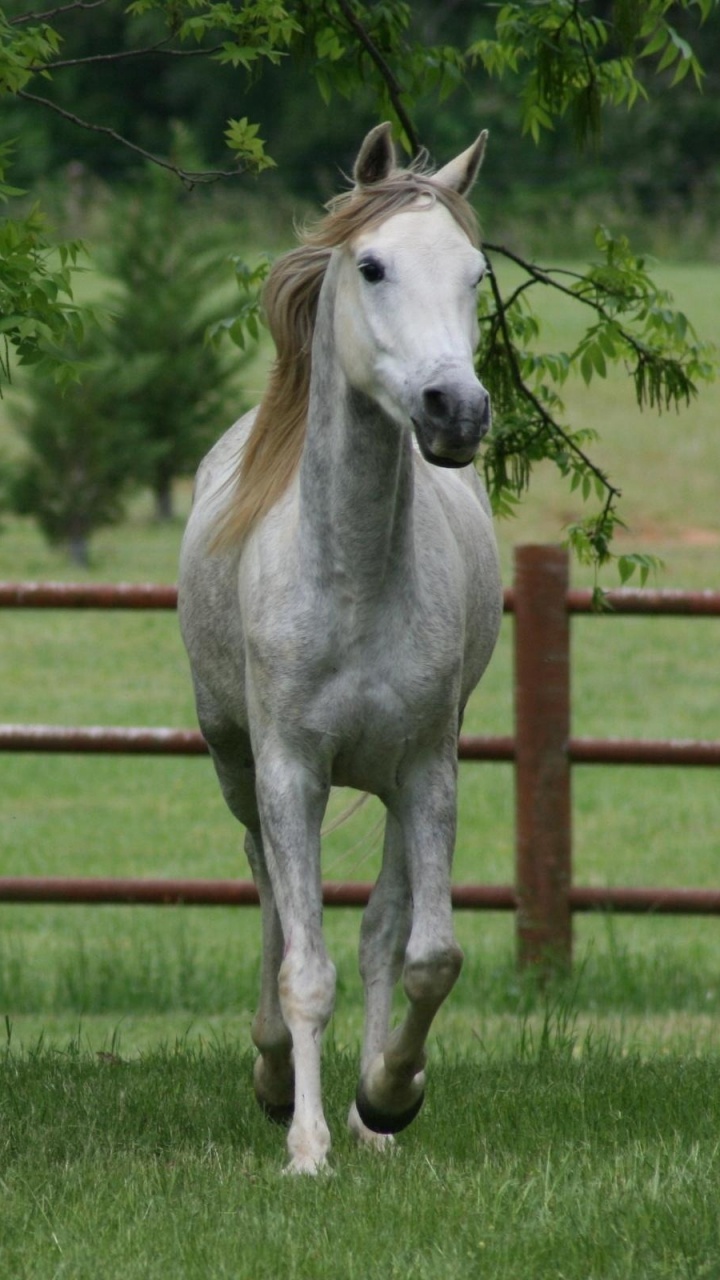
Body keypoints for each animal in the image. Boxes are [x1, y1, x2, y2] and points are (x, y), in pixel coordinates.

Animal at [178, 123, 502, 1174]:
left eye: (475, 274)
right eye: (372, 266)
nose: (456, 411)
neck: (353, 579)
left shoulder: (428, 770)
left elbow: (423, 954)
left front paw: (388, 1098)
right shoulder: (290, 772)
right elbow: (304, 966)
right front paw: (307, 1147)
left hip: (400, 781)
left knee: (379, 932)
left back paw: (366, 1119)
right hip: (240, 770)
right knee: (272, 904)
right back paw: (278, 1079)